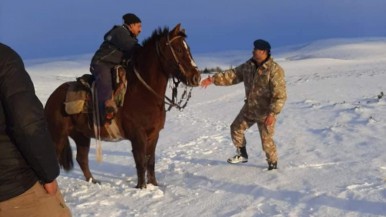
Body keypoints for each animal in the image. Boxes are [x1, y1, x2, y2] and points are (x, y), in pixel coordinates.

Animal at [44, 23, 201, 186]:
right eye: (179, 50)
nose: (196, 77)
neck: (143, 91)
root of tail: (52, 98)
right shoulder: (138, 136)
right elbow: (140, 162)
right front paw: (141, 187)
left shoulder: (153, 135)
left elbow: (150, 162)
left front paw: (154, 185)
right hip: (58, 136)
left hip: (81, 136)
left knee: (81, 159)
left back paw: (94, 181)